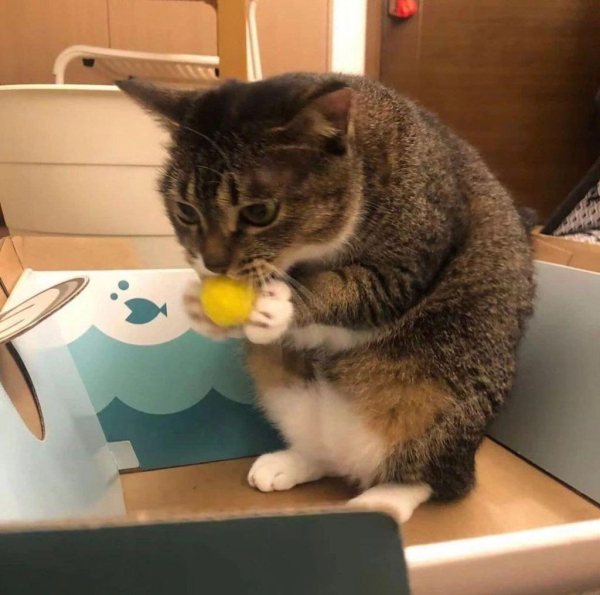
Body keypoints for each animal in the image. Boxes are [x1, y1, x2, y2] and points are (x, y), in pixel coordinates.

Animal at [117, 73, 536, 520]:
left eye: (259, 212)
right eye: (185, 210)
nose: (213, 265)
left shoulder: (405, 272)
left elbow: (348, 289)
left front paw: (279, 304)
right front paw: (202, 309)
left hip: (440, 406)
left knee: (435, 477)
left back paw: (380, 502)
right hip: (283, 388)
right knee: (328, 453)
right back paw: (293, 462)